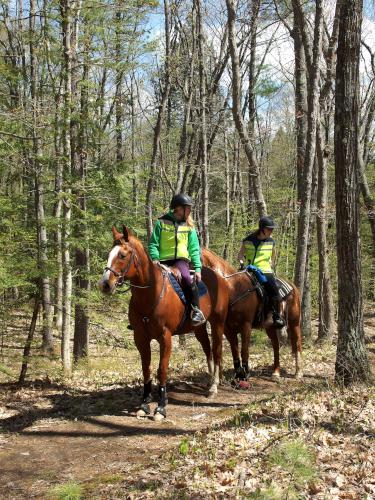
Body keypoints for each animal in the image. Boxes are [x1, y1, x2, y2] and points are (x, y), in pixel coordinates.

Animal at [98, 229, 229, 420]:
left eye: (122, 255)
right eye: (109, 254)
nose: (105, 284)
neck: (150, 293)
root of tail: (218, 276)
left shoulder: (165, 337)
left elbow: (162, 370)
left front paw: (160, 408)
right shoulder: (140, 338)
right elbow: (146, 369)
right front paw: (144, 404)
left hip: (218, 323)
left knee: (217, 350)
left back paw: (214, 386)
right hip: (199, 327)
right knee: (207, 350)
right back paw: (209, 381)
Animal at [201, 248, 304, 380]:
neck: (233, 289)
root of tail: (293, 287)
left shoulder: (246, 326)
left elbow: (244, 350)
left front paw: (245, 373)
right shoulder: (228, 329)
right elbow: (235, 350)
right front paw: (238, 373)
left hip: (294, 322)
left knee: (297, 343)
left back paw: (298, 372)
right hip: (270, 326)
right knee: (276, 345)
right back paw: (276, 372)